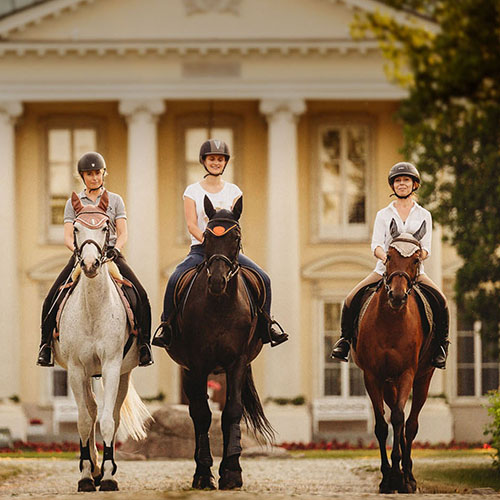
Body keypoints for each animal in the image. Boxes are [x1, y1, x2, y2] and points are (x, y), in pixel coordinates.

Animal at [54, 191, 151, 492]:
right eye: (75, 228)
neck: (93, 309)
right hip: (85, 374)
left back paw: (105, 470)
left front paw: (108, 477)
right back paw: (93, 468)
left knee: (112, 415)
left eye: (106, 227)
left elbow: (108, 421)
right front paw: (86, 475)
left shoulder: (111, 366)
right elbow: (85, 421)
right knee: (90, 410)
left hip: (122, 374)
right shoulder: (75, 369)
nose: (89, 264)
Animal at [162, 194, 274, 488]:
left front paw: (232, 472)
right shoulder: (197, 364)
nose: (216, 281)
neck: (220, 304)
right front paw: (204, 474)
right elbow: (203, 414)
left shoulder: (237, 362)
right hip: (188, 371)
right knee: (196, 412)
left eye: (235, 236)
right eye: (207, 236)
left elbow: (232, 411)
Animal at [354, 221, 436, 494]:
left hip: (423, 378)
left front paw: (400, 477)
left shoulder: (407, 373)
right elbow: (382, 426)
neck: (391, 321)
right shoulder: (372, 376)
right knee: (395, 420)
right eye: (388, 256)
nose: (397, 296)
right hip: (389, 383)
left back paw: (408, 476)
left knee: (410, 424)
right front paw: (387, 478)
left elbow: (401, 420)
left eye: (416, 259)